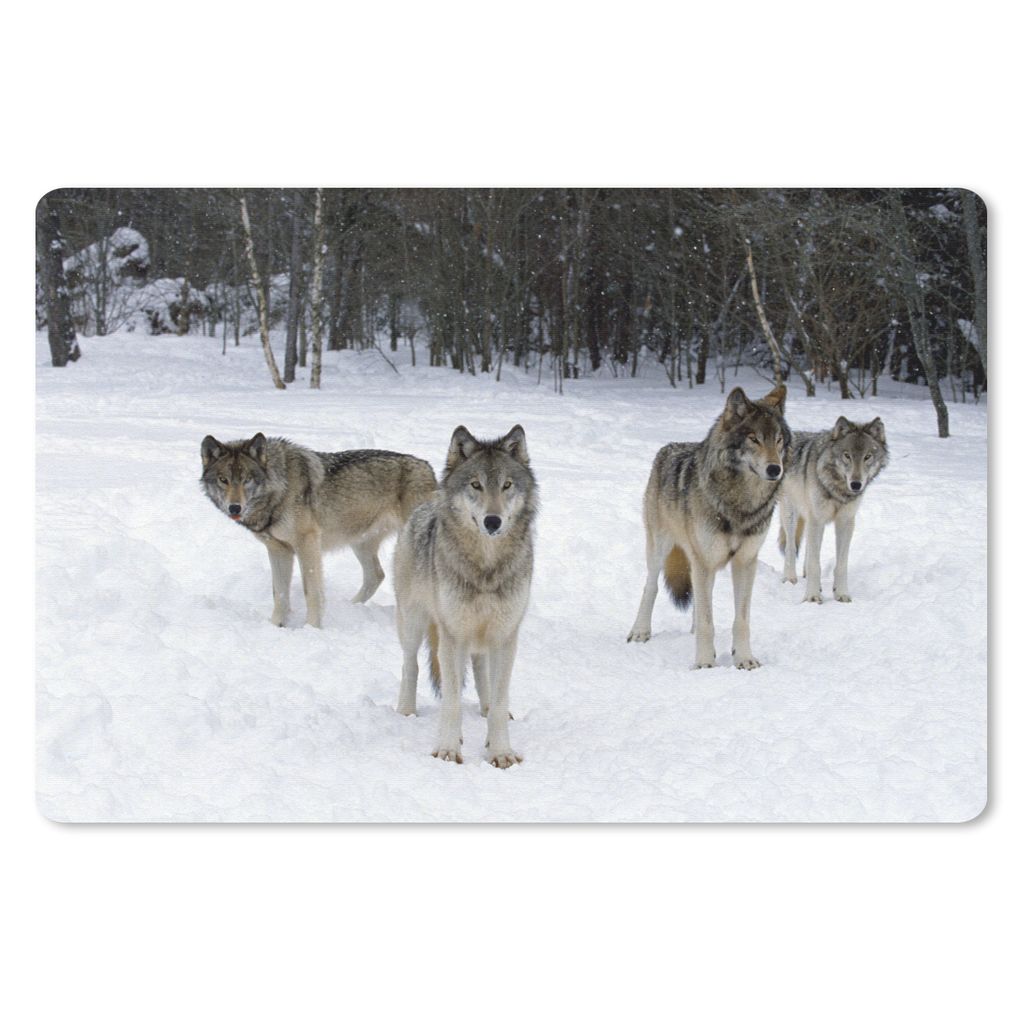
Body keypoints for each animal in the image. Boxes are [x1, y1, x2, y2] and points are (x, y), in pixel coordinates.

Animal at [200, 433, 437, 627]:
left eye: (247, 480)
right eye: (223, 480)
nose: (234, 507)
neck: (280, 489)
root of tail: (428, 468)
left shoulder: (307, 543)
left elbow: (311, 592)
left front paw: (312, 628)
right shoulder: (278, 550)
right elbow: (279, 593)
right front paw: (276, 625)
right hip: (360, 543)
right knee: (376, 575)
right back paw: (351, 607)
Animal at [393, 425, 537, 768]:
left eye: (507, 485)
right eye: (476, 485)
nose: (492, 521)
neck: (486, 567)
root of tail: (425, 503)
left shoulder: (505, 635)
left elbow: (499, 700)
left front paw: (500, 751)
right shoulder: (452, 635)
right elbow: (452, 700)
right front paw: (447, 749)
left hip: (482, 636)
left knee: (482, 671)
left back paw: (484, 710)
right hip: (413, 623)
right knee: (410, 665)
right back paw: (406, 712)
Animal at [626, 385, 790, 669]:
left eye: (778, 440)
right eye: (754, 439)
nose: (774, 469)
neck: (740, 504)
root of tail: (668, 447)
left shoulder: (745, 561)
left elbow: (740, 620)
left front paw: (744, 659)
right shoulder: (703, 560)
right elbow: (707, 622)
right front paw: (704, 663)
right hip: (662, 549)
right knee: (651, 586)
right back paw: (640, 631)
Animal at [778, 416, 889, 603]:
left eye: (867, 457)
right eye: (847, 456)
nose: (856, 484)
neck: (838, 489)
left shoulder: (845, 522)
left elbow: (841, 564)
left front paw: (841, 593)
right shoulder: (817, 519)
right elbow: (815, 563)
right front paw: (812, 596)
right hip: (791, 513)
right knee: (791, 547)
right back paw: (789, 578)